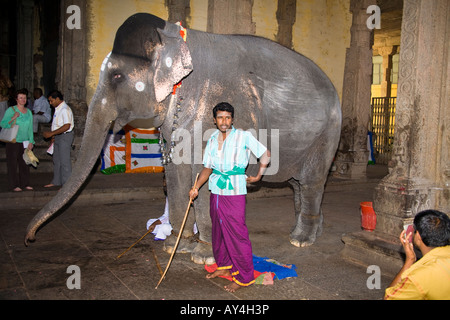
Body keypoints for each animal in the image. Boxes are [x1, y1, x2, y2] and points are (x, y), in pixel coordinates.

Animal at [24, 12, 342, 264]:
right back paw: (310, 231)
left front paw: (205, 257)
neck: (175, 37)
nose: (30, 239)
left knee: (312, 182)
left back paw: (301, 240)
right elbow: (177, 173)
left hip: (328, 133)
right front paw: (174, 247)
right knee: (298, 184)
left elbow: (206, 175)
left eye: (116, 77)